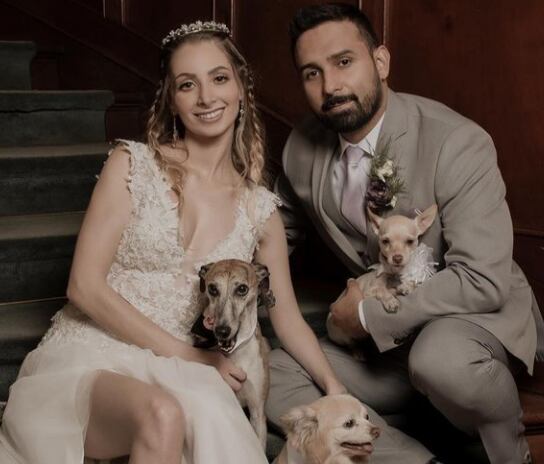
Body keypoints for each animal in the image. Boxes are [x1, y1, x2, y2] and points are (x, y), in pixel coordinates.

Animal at [327, 205, 438, 348]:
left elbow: (412, 282)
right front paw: (390, 300)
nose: (397, 258)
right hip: (344, 337)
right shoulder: (368, 293)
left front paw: (407, 286)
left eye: (410, 241)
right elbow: (381, 289)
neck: (394, 274)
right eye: (385, 241)